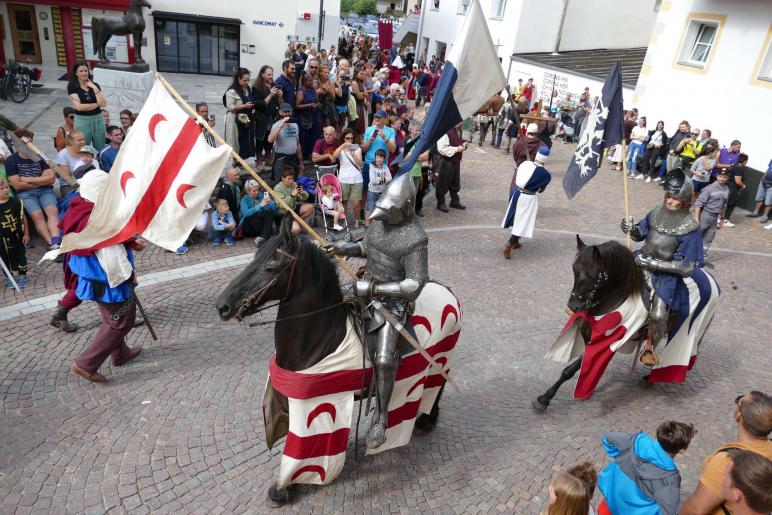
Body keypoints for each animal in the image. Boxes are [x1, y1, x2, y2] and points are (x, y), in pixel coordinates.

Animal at [217, 222, 446, 504]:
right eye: (253, 259)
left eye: (271, 265)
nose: (222, 306)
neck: (321, 338)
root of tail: (447, 292)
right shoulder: (292, 399)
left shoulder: (315, 404)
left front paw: (285, 486)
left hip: (440, 357)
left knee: (430, 383)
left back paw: (420, 422)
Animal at [532, 237, 644, 412]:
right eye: (574, 269)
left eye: (593, 274)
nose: (573, 306)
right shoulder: (588, 336)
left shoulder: (604, 342)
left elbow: (572, 369)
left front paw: (546, 398)